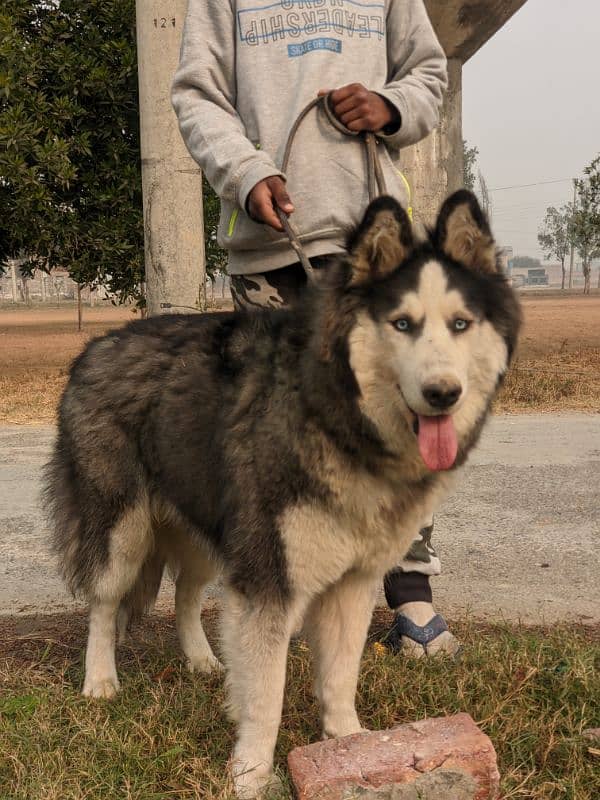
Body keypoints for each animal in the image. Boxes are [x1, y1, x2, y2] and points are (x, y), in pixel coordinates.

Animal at [44, 191, 516, 796]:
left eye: (460, 323)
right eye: (403, 323)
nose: (443, 393)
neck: (339, 419)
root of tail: (94, 347)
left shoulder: (351, 581)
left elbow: (339, 676)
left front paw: (350, 745)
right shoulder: (268, 577)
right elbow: (266, 693)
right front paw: (250, 773)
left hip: (210, 528)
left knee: (186, 595)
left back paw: (201, 660)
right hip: (122, 529)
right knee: (104, 602)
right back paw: (100, 680)